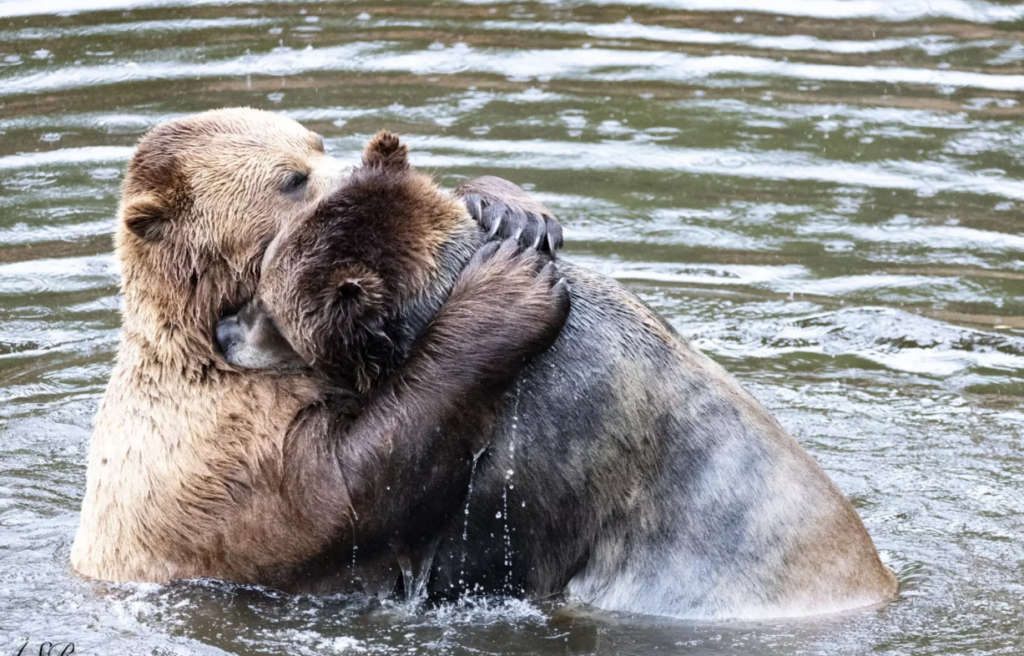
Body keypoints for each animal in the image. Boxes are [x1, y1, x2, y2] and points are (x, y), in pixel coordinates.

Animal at [74, 108, 897, 618]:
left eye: (271, 307)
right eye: (290, 180)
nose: (228, 334)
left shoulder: (533, 453)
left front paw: (509, 212)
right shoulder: (223, 451)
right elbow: (341, 502)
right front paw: (507, 293)